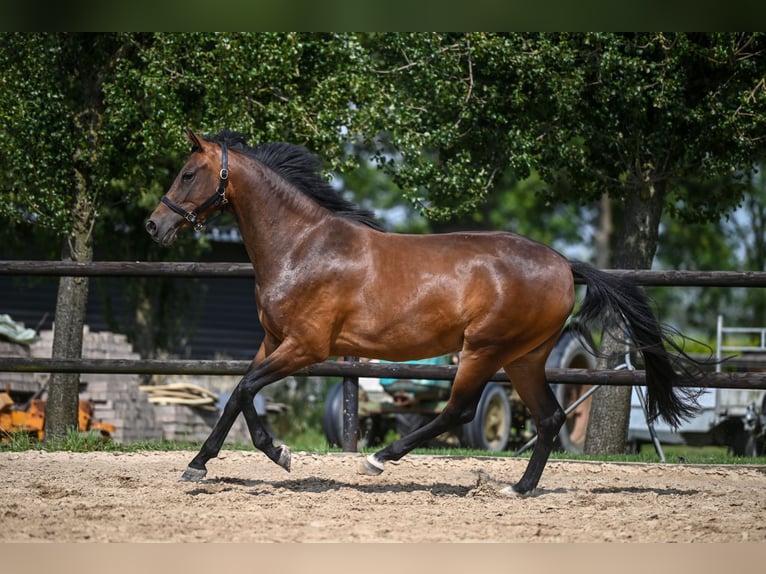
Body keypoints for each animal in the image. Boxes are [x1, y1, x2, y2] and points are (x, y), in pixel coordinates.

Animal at [144, 129, 704, 496]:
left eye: (188, 173)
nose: (154, 226)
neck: (303, 247)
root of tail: (565, 264)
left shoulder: (306, 346)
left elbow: (243, 389)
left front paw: (257, 457)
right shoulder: (272, 341)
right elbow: (239, 395)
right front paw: (218, 461)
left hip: (484, 350)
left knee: (459, 411)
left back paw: (378, 460)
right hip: (524, 357)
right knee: (549, 418)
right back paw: (518, 489)